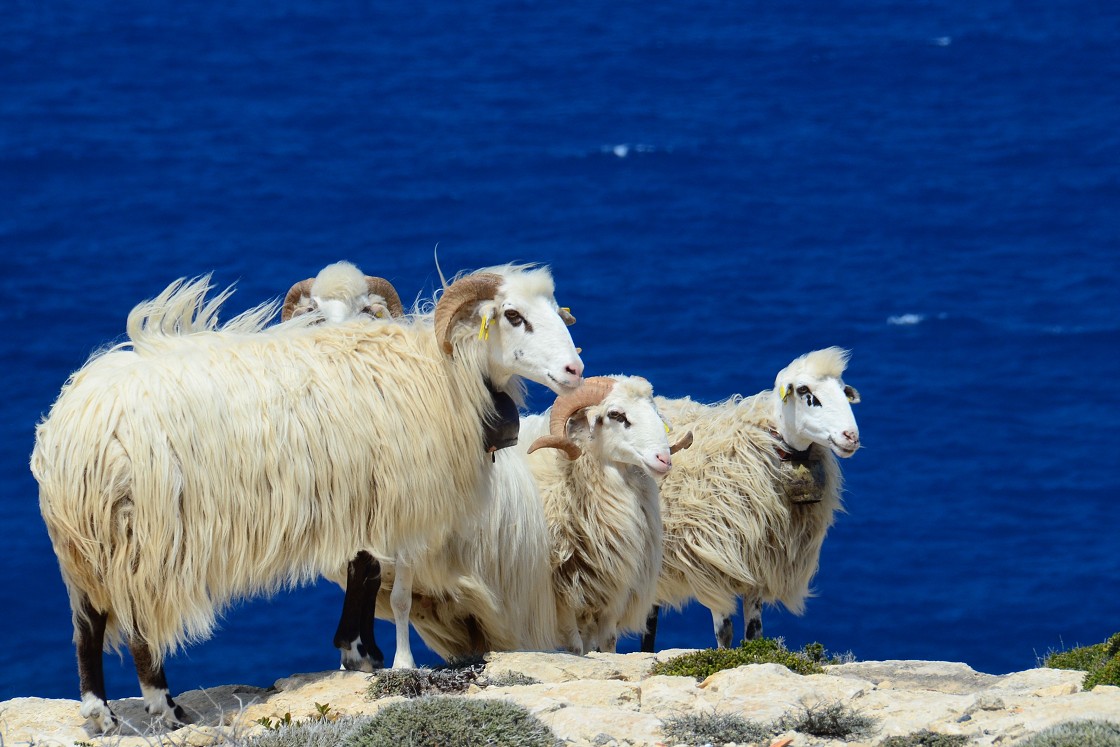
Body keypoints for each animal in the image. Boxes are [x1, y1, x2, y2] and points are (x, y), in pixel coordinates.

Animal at [30, 263, 582, 730]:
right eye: (512, 316)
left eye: (556, 310)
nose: (575, 370)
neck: (444, 370)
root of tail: (75, 425)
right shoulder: (399, 496)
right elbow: (385, 582)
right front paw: (383, 659)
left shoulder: (361, 497)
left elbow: (365, 570)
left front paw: (358, 653)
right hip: (142, 532)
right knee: (140, 630)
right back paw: (165, 709)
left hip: (86, 541)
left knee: (86, 624)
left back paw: (100, 714)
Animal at [517, 376, 689, 649]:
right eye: (616, 415)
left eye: (654, 410)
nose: (664, 459)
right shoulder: (561, 597)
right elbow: (576, 647)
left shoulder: (610, 592)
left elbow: (606, 644)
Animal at [636, 347, 860, 649]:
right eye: (805, 391)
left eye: (843, 390)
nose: (851, 436)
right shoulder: (713, 568)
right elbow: (724, 632)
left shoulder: (758, 569)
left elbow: (754, 631)